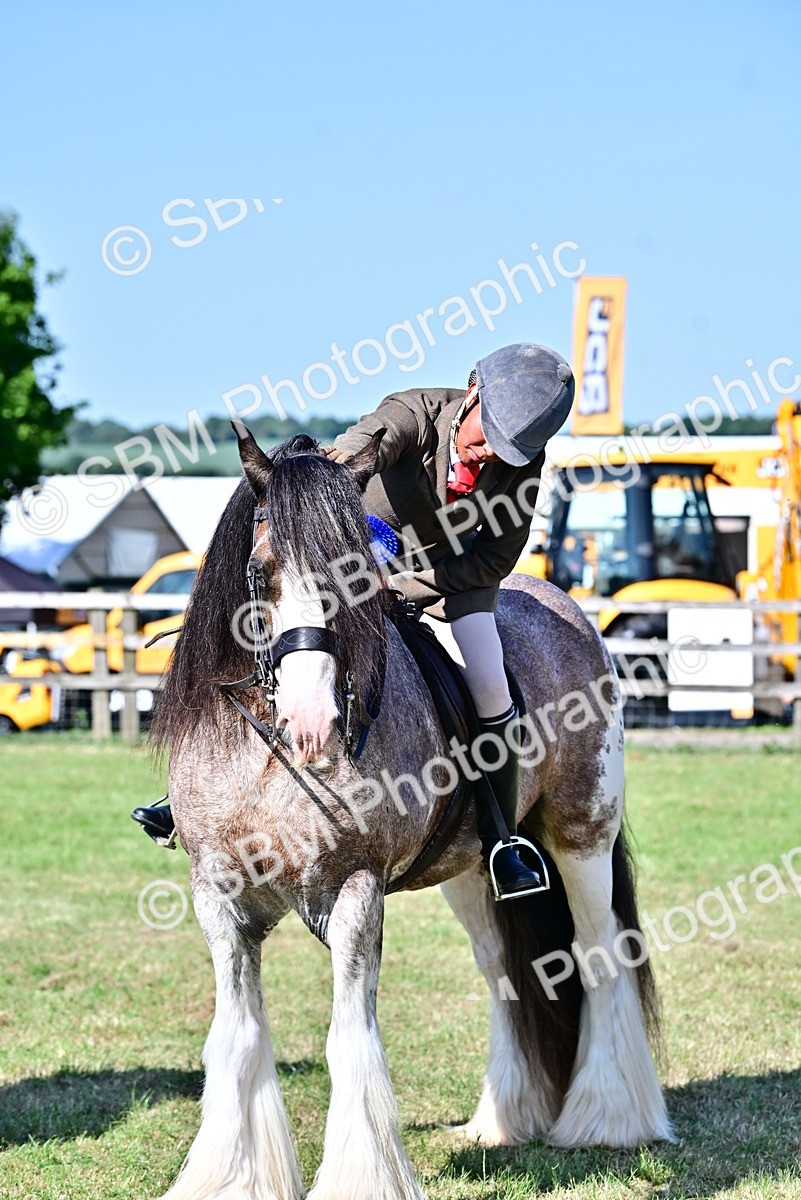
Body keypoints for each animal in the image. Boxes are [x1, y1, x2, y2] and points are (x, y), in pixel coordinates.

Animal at [150, 426, 672, 1200]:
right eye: (260, 571)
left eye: (357, 577)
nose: (312, 724)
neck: (271, 758)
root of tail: (565, 606)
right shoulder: (218, 894)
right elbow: (236, 1037)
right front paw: (232, 1178)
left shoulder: (355, 891)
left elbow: (347, 1039)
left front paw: (361, 1177)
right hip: (475, 871)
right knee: (505, 971)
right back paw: (502, 1120)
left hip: (582, 835)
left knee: (598, 955)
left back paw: (607, 1119)